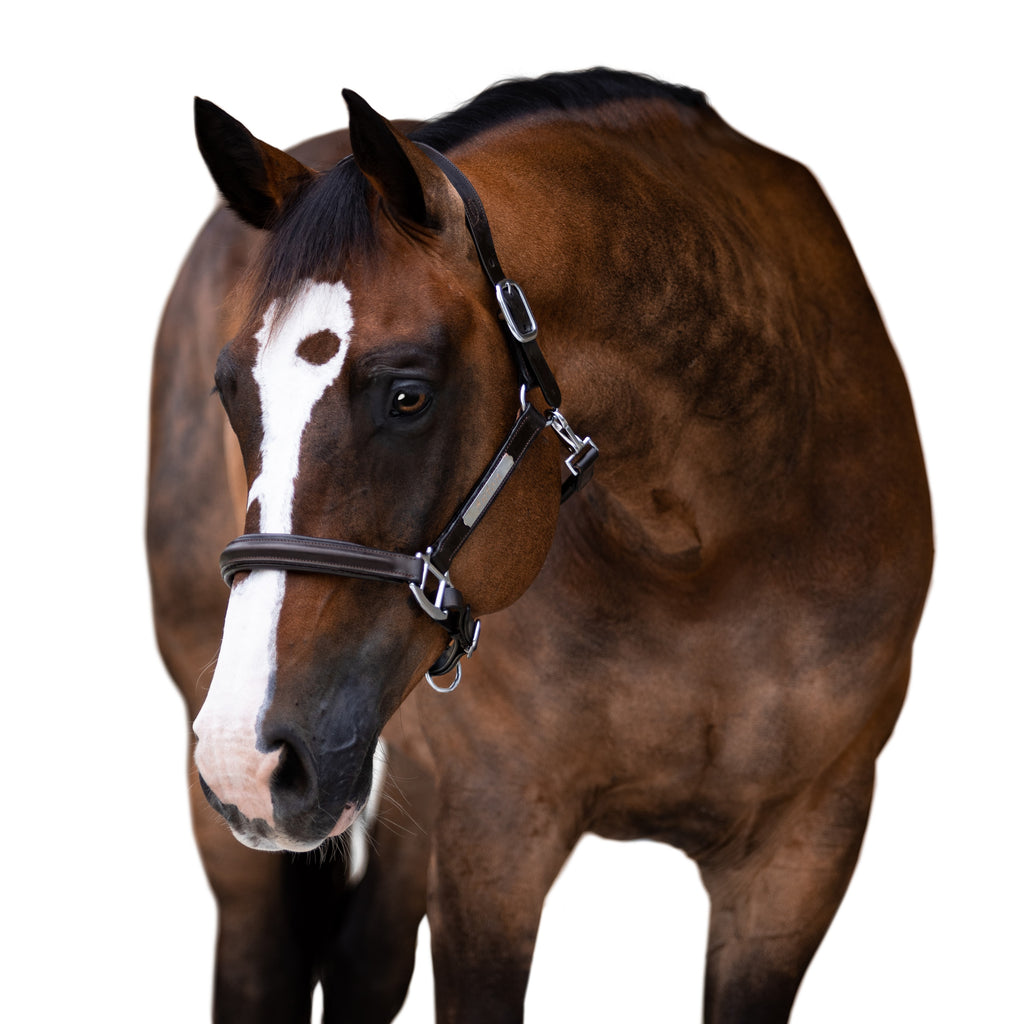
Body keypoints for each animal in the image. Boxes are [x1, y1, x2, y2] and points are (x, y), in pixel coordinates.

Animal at [149, 69, 932, 1023]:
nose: (247, 757)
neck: (709, 546)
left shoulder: (802, 852)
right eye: (231, 392)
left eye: (407, 394)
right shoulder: (497, 840)